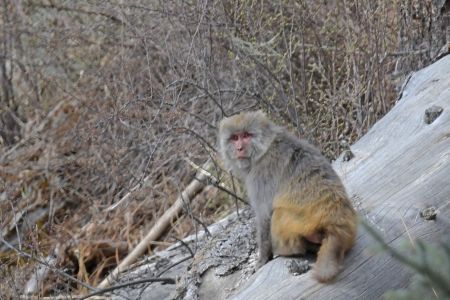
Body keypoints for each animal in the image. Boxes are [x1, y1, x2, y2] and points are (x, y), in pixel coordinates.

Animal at [219, 109, 358, 282]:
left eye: (245, 135)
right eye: (235, 138)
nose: (239, 148)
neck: (264, 149)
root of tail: (338, 226)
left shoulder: (261, 175)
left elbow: (264, 216)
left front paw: (262, 259)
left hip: (301, 224)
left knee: (278, 213)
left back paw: (289, 250)